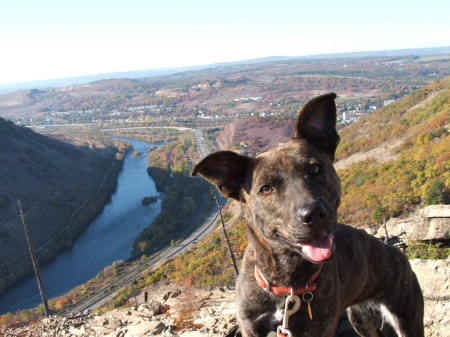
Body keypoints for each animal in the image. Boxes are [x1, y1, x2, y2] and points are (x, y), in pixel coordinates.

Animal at [192, 92, 424, 336]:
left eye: (314, 168)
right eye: (266, 188)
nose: (313, 213)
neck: (287, 285)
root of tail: (397, 253)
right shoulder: (251, 326)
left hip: (407, 317)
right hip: (361, 319)